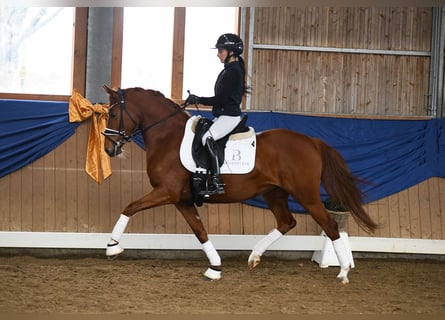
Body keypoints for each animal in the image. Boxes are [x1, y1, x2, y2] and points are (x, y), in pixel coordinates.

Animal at [102, 86, 376, 284]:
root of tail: (311, 141)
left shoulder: (166, 192)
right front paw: (215, 267)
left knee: (330, 225)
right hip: (274, 193)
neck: (168, 137)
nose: (108, 149)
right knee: (286, 222)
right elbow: (200, 232)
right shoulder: (182, 200)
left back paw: (343, 272)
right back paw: (254, 256)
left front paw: (112, 246)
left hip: (306, 195)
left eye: (113, 114)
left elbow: (129, 207)